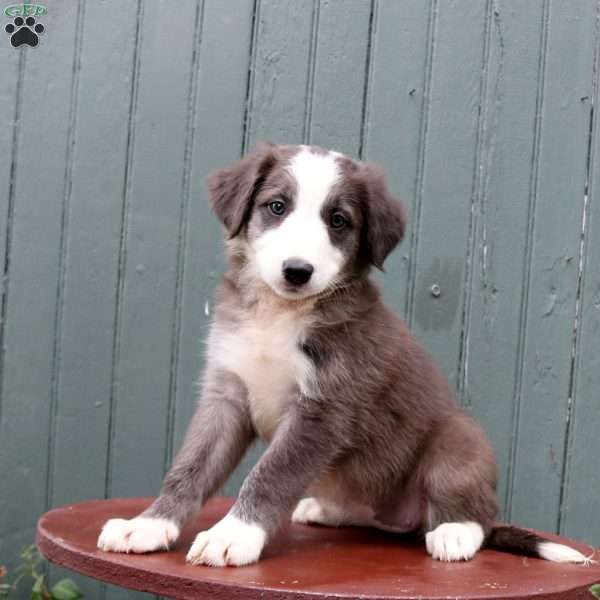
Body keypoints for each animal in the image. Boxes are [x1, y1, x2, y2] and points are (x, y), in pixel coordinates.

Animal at [96, 143, 588, 564]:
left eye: (338, 220)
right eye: (277, 207)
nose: (297, 271)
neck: (279, 314)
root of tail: (403, 519)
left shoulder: (323, 410)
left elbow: (271, 474)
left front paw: (232, 535)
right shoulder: (227, 395)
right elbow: (190, 467)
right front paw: (149, 524)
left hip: (458, 438)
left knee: (479, 516)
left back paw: (453, 532)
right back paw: (327, 509)